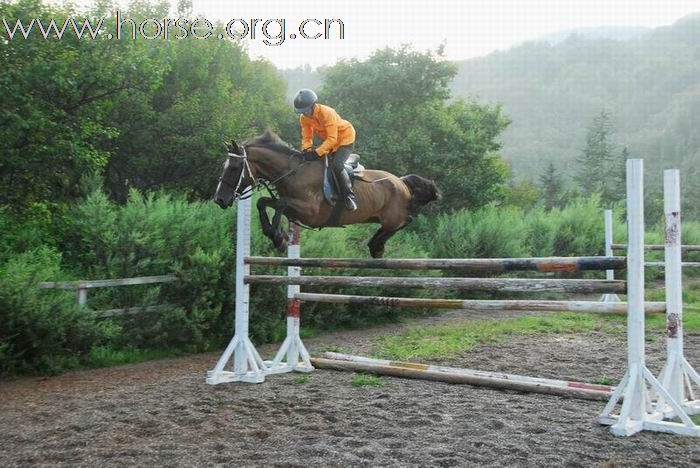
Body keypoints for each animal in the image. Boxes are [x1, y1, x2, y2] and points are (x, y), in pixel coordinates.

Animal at [214, 131, 439, 258]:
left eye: (234, 167)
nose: (219, 199)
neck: (292, 172)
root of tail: (401, 181)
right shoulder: (294, 208)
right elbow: (263, 202)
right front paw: (277, 236)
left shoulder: (310, 212)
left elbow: (281, 204)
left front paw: (279, 238)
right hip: (377, 217)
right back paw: (375, 246)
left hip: (392, 217)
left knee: (406, 221)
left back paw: (376, 246)